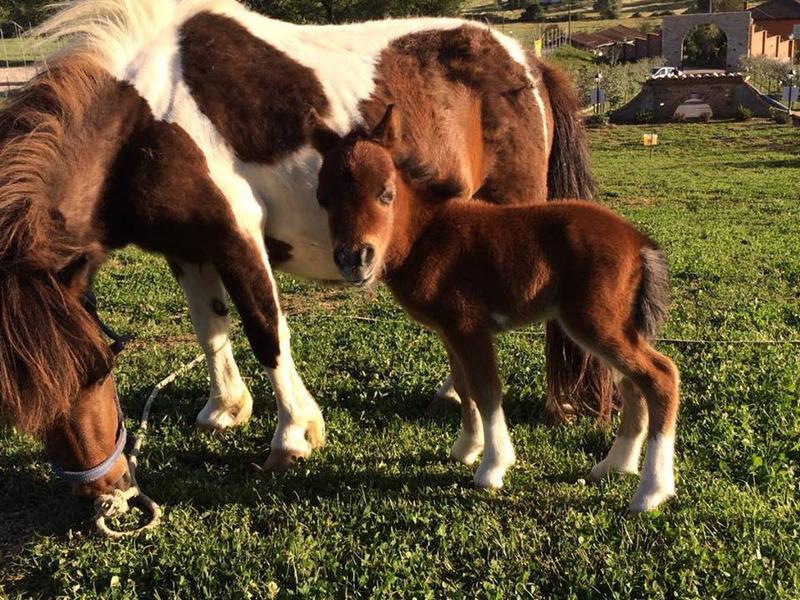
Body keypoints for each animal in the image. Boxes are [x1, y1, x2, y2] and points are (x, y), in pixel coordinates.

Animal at [0, 0, 600, 500]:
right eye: (17, 409)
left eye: (100, 371)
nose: (107, 493)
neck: (151, 116)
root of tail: (530, 64)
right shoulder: (188, 247)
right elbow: (210, 327)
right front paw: (225, 409)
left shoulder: (237, 233)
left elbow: (265, 329)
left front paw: (293, 436)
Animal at [310, 106, 680, 510]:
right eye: (323, 199)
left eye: (386, 194)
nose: (354, 260)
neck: (426, 236)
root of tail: (640, 243)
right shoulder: (448, 330)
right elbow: (463, 385)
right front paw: (466, 449)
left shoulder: (469, 326)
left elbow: (486, 389)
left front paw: (492, 467)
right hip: (612, 327)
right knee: (633, 385)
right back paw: (614, 466)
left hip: (595, 323)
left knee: (660, 376)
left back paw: (651, 491)